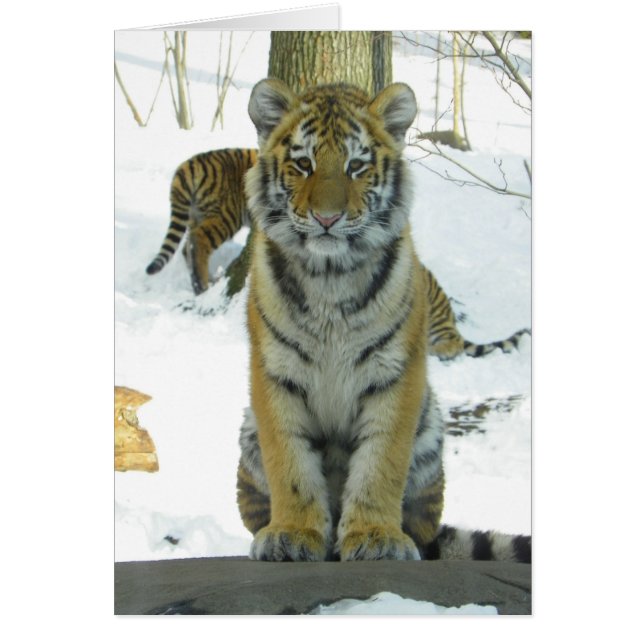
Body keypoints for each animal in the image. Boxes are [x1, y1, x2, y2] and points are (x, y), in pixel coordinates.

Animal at [235, 78, 531, 562]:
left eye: (356, 166)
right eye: (303, 163)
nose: (327, 218)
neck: (330, 277)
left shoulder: (396, 372)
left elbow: (381, 462)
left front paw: (377, 537)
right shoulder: (275, 372)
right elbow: (290, 461)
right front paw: (292, 533)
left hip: (430, 431)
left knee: (425, 528)